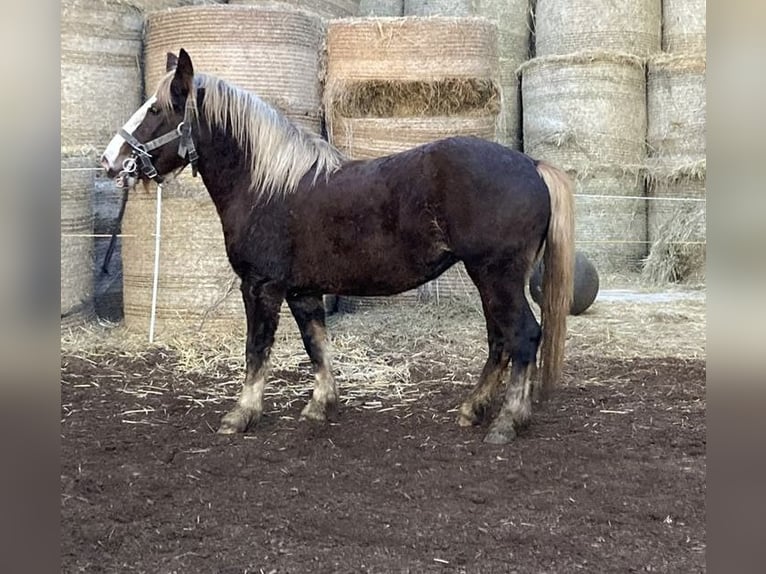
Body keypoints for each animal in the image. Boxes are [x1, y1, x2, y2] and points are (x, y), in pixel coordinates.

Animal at [101, 49, 575, 444]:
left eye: (156, 109)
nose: (111, 161)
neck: (268, 185)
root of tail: (532, 165)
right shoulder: (302, 291)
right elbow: (316, 345)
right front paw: (320, 405)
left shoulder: (261, 287)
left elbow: (257, 350)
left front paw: (242, 414)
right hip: (491, 281)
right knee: (500, 340)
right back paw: (473, 409)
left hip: (497, 277)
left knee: (523, 336)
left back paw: (507, 421)